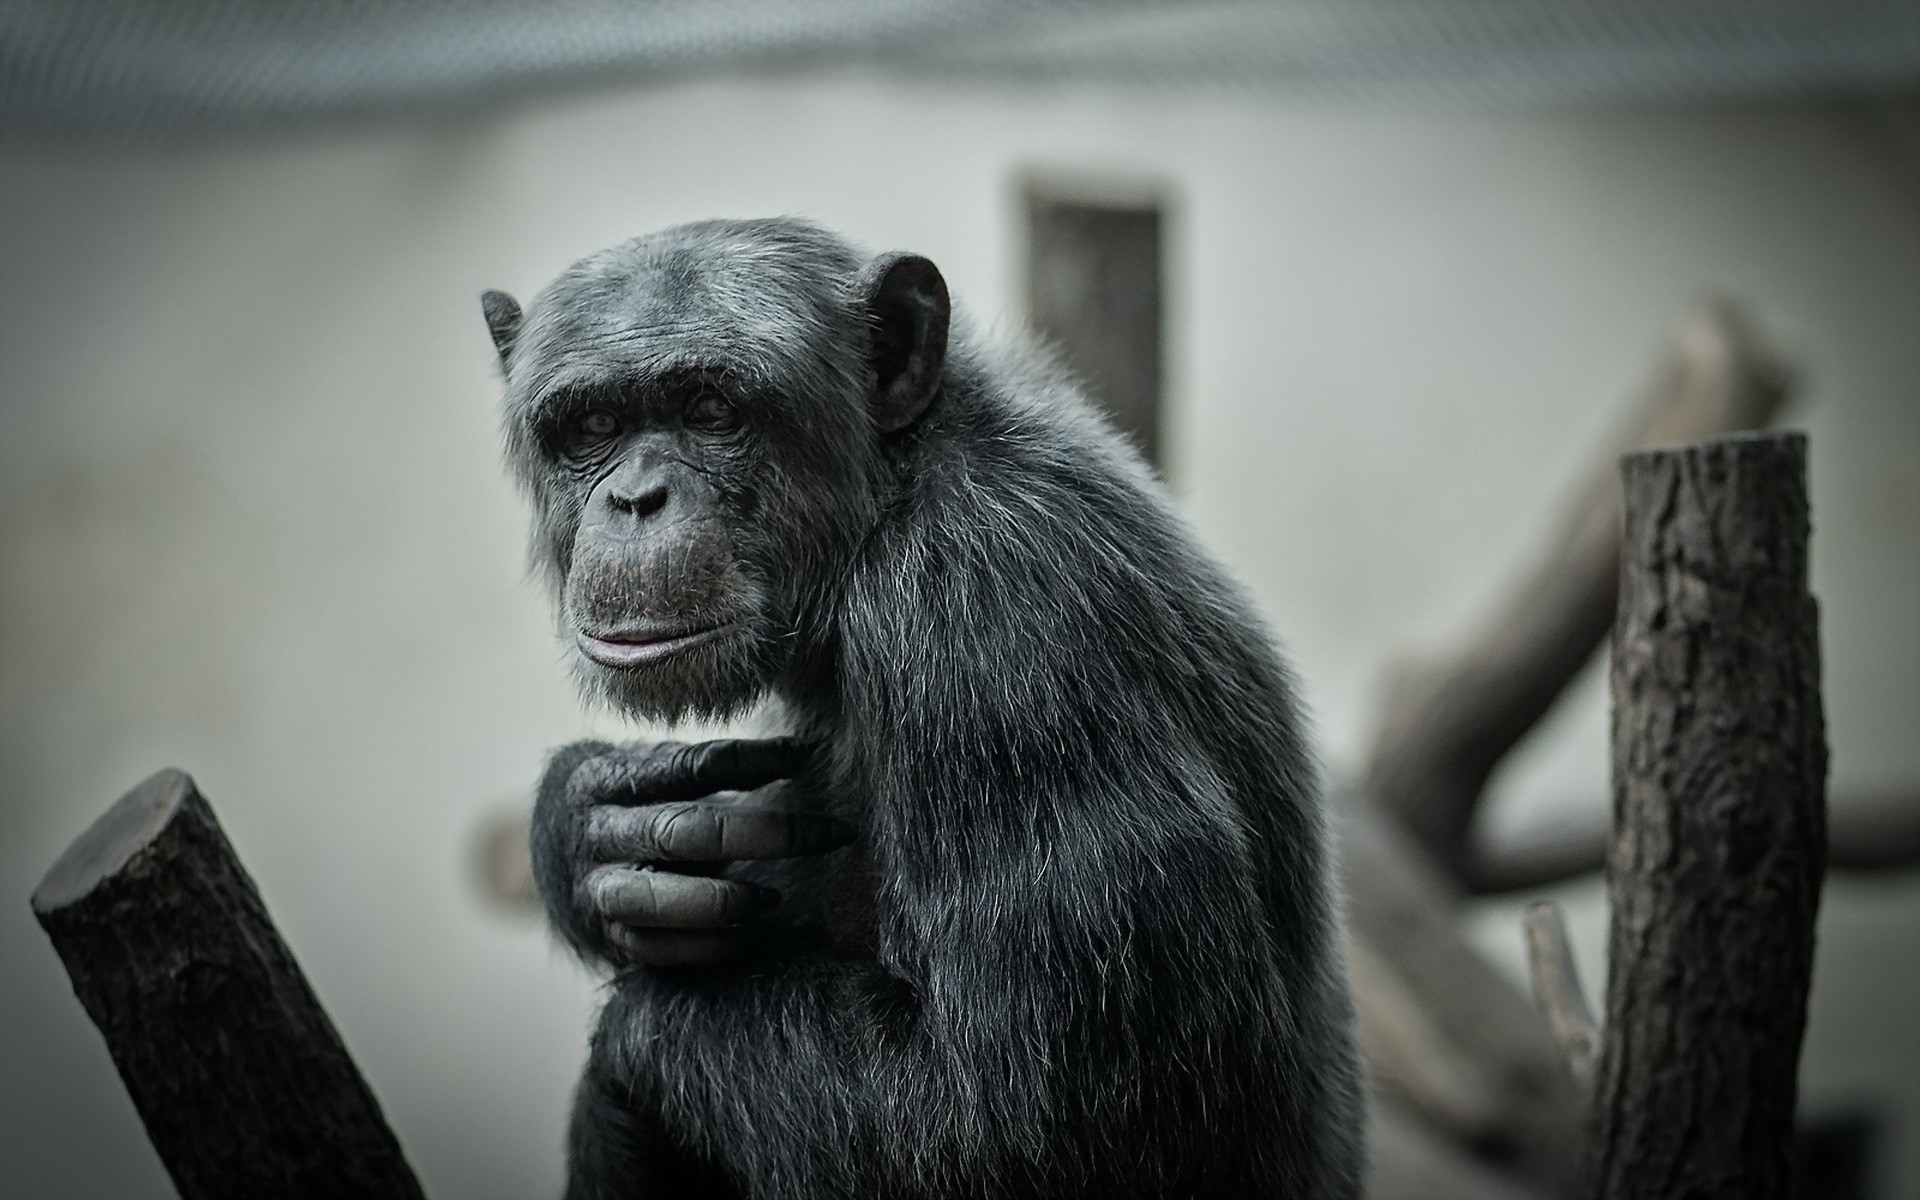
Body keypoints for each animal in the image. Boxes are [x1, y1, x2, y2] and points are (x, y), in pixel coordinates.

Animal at [482, 217, 1364, 1199]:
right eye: (594, 426)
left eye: (712, 410)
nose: (636, 499)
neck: (889, 497)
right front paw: (590, 822)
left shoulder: (998, 627)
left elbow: (1009, 1118)